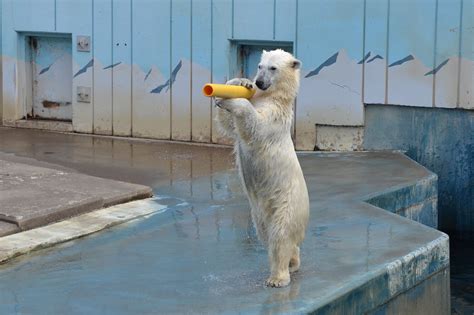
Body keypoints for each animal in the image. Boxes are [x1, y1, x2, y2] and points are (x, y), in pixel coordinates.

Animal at [216, 49, 312, 288]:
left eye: (273, 68)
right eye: (260, 66)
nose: (259, 82)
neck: (272, 97)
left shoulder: (275, 116)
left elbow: (255, 126)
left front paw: (236, 100)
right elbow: (229, 126)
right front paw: (239, 82)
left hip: (286, 206)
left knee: (280, 237)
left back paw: (278, 277)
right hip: (258, 215)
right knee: (266, 235)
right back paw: (293, 262)